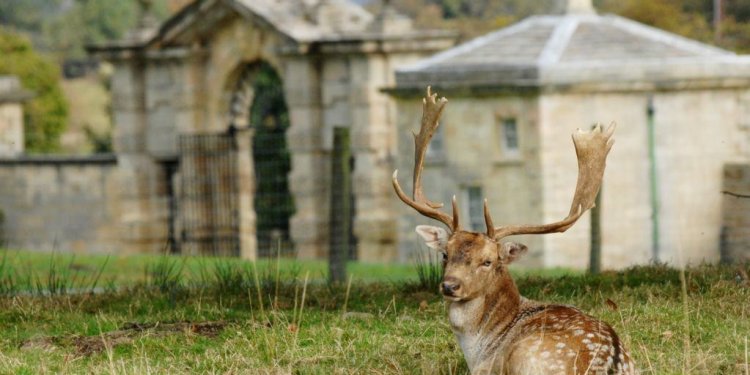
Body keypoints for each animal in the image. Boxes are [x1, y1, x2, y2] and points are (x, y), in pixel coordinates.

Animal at [396, 86, 636, 374]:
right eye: (445, 254)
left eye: (488, 261)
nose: (450, 285)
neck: (478, 346)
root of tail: (609, 364)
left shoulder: (483, 368)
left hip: (527, 356)